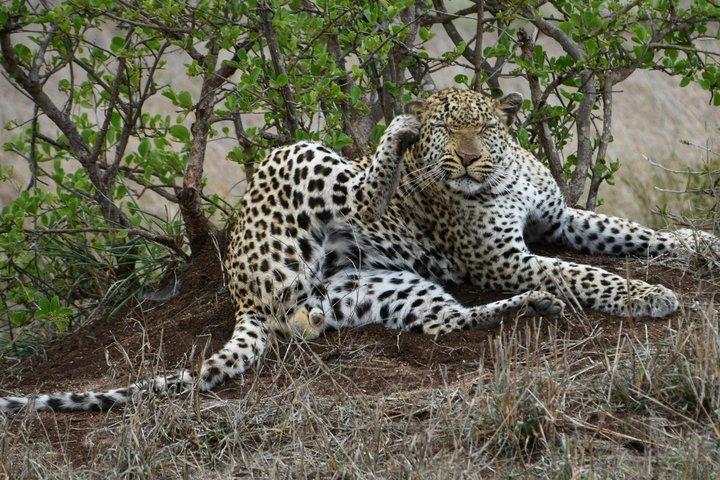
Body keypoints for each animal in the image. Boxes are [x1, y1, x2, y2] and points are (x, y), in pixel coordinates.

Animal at [2, 87, 714, 412]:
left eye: (482, 125)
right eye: (443, 128)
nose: (464, 159)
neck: (503, 172)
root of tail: (243, 291)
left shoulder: (557, 218)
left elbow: (627, 233)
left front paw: (699, 242)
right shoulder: (503, 257)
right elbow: (586, 274)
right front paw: (648, 294)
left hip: (383, 289)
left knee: (445, 321)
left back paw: (531, 306)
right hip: (304, 160)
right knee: (366, 184)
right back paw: (393, 134)